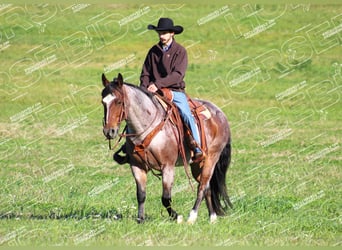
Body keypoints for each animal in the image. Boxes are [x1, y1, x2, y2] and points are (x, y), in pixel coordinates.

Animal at [101, 73, 232, 225]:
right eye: (103, 102)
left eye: (119, 102)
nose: (109, 131)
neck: (146, 128)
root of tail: (221, 114)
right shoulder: (137, 166)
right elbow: (141, 194)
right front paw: (141, 219)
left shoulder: (168, 166)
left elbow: (165, 198)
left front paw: (177, 216)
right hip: (197, 164)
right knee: (208, 188)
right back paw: (212, 217)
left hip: (212, 158)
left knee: (202, 186)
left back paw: (192, 216)